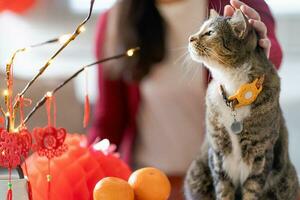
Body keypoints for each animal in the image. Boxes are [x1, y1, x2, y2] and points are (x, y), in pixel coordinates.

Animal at [184, 8, 298, 199]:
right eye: (201, 29)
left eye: (209, 33)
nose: (190, 38)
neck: (235, 92)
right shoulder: (218, 153)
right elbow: (223, 189)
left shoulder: (261, 154)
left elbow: (252, 190)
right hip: (196, 173)